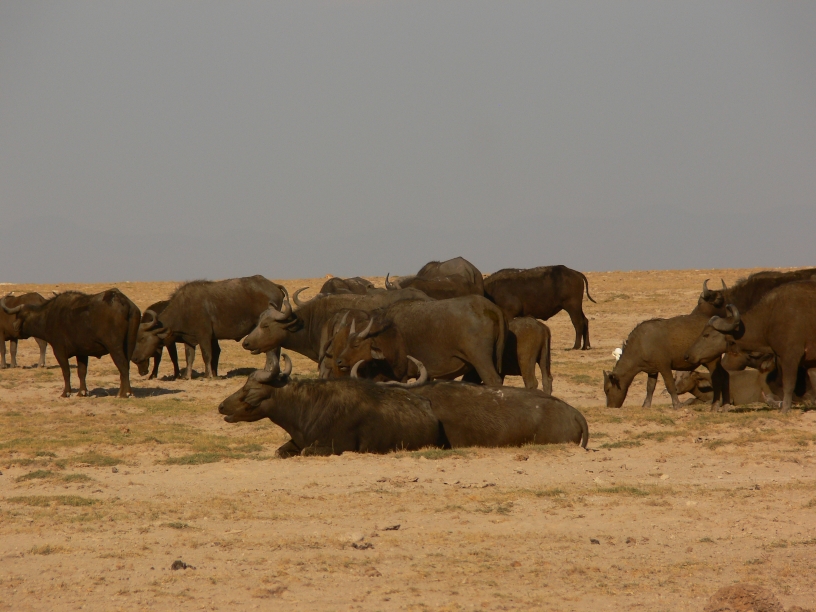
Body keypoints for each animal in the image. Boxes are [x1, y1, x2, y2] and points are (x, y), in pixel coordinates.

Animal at [1, 290, 141, 397]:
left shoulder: (59, 352)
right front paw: (82, 392)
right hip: (129, 345)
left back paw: (126, 393)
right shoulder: (82, 353)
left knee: (122, 365)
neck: (48, 317)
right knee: (125, 367)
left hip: (114, 347)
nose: (14, 326)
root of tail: (125, 303)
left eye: (19, 315)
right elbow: (82, 372)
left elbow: (66, 372)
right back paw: (121, 392)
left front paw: (66, 392)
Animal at [132, 275, 285, 379]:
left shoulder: (204, 336)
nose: (134, 358)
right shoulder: (188, 339)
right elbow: (189, 357)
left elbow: (207, 355)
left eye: (142, 338)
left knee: (271, 350)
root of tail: (274, 285)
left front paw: (208, 375)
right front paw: (187, 376)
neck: (184, 309)